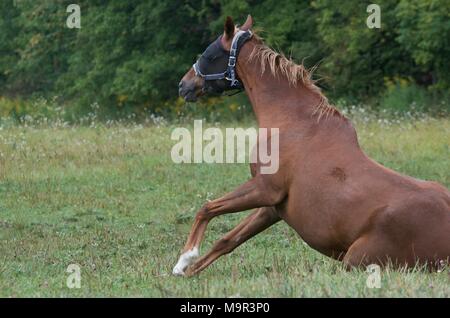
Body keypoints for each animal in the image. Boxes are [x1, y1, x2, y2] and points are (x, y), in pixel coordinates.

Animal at [174, 15, 448, 276]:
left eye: (209, 55)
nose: (183, 85)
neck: (293, 121)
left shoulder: (264, 189)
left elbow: (207, 208)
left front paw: (185, 258)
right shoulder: (272, 207)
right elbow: (227, 240)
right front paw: (184, 271)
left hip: (355, 260)